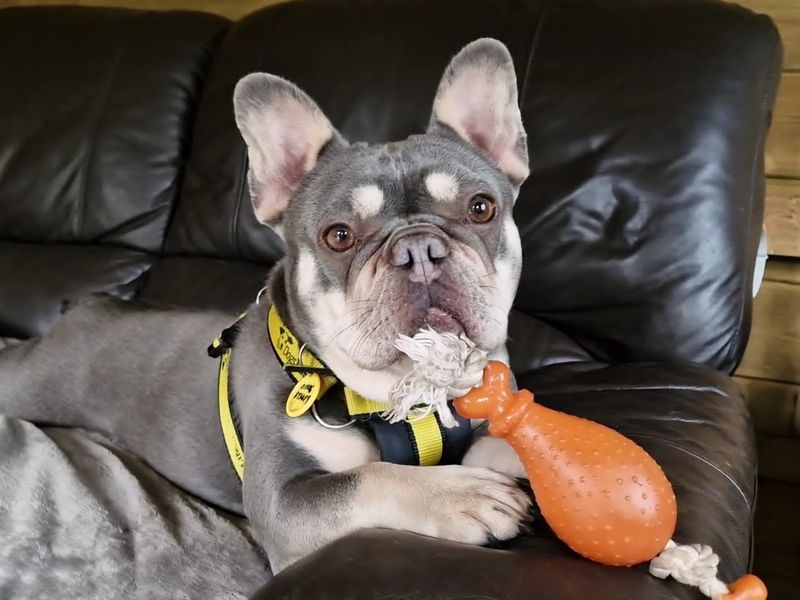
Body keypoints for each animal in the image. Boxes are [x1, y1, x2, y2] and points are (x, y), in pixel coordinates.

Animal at [1, 39, 536, 576]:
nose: (419, 249)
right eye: (339, 236)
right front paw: (460, 495)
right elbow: (371, 477)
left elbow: (514, 440)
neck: (407, 395)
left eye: (481, 208)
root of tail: (86, 306)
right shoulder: (283, 501)